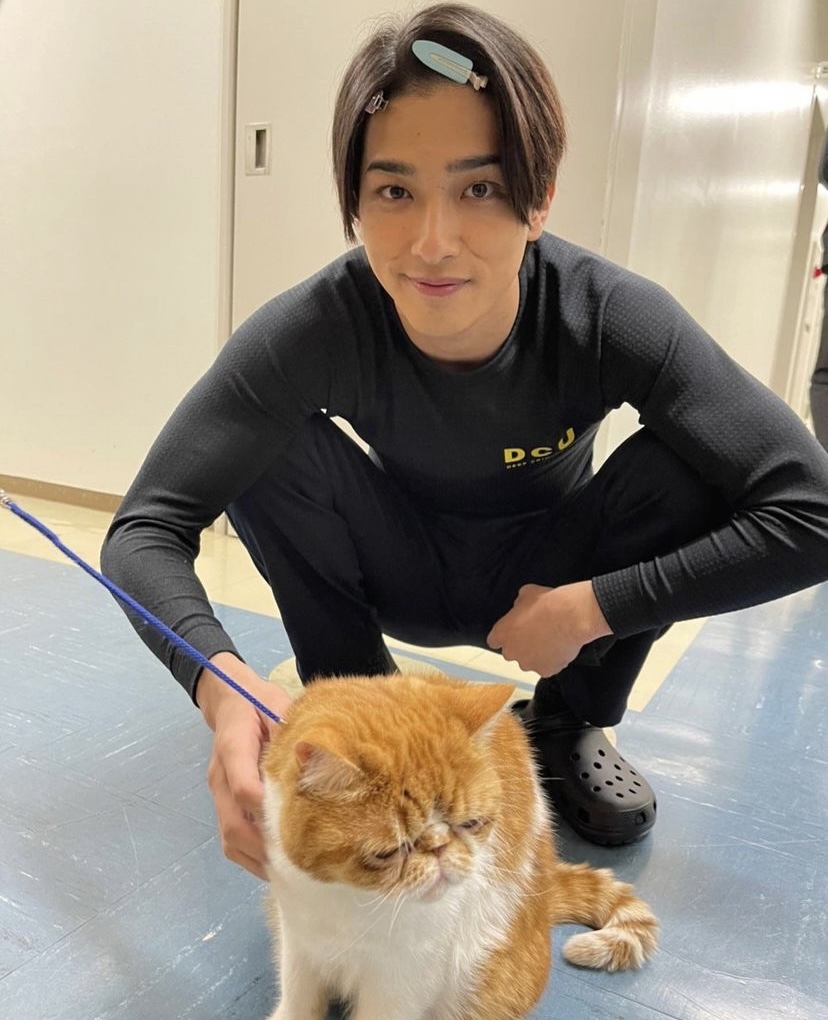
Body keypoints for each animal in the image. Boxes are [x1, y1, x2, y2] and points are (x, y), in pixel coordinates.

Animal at [260, 672, 658, 1020]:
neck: (347, 899)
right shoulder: (298, 946)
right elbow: (297, 1001)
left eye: (471, 824)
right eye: (389, 852)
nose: (439, 847)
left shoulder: (401, 981)